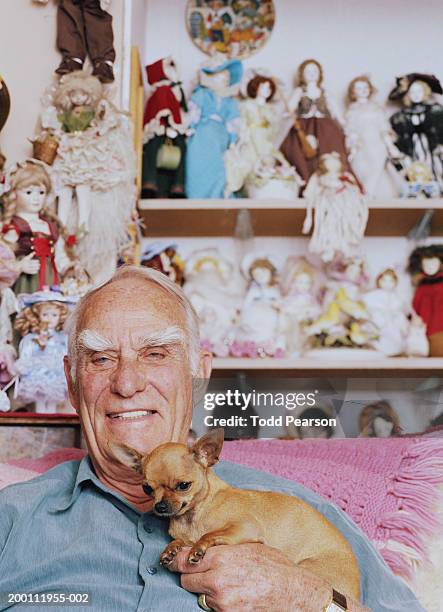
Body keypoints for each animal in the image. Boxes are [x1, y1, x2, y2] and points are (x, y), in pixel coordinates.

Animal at [111, 430, 360, 596]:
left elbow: (209, 535)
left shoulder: (244, 528)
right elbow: (181, 541)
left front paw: (199, 548)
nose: (161, 507)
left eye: (183, 485)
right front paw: (171, 549)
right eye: (147, 489)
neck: (193, 516)